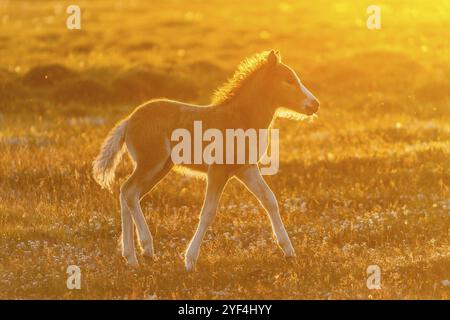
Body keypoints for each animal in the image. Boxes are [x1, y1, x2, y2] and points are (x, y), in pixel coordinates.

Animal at [93, 50, 320, 270]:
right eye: (289, 80)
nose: (314, 104)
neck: (240, 119)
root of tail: (129, 120)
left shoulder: (246, 169)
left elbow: (270, 200)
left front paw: (288, 252)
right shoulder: (217, 171)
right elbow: (208, 212)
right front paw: (190, 260)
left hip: (160, 167)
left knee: (128, 193)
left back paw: (132, 256)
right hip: (151, 163)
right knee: (129, 192)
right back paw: (145, 249)